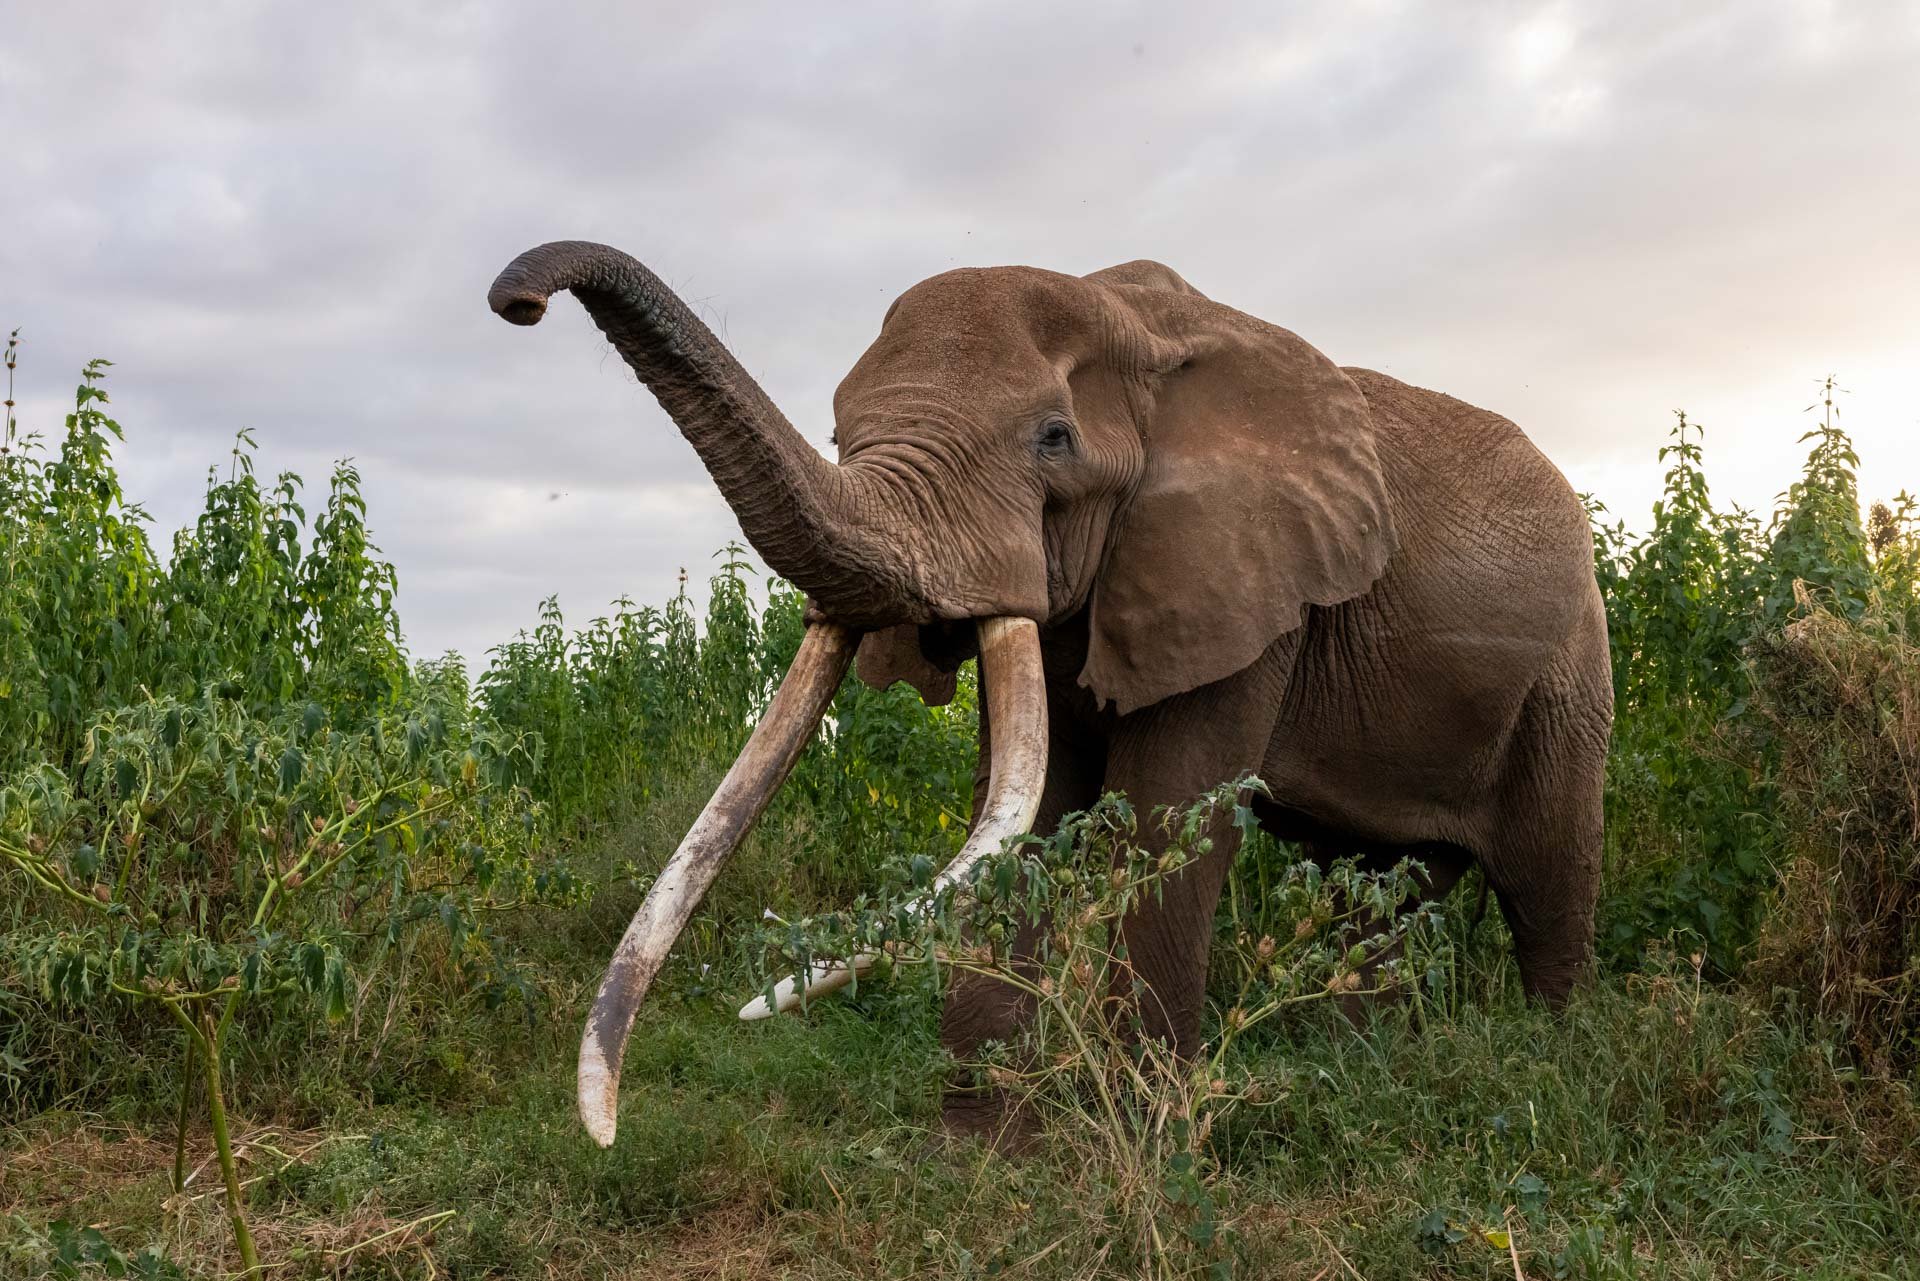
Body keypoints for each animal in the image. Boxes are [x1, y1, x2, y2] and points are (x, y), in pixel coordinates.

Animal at [487, 242, 1614, 1147]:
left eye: (1053, 441)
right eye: (840, 435)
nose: (517, 298)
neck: (1137, 322)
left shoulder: (1249, 581)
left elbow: (1165, 816)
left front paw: (1152, 1135)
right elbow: (1024, 813)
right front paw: (981, 1147)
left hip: (1573, 666)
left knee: (1544, 883)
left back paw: (1547, 1071)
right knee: (1376, 894)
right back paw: (1355, 1070)